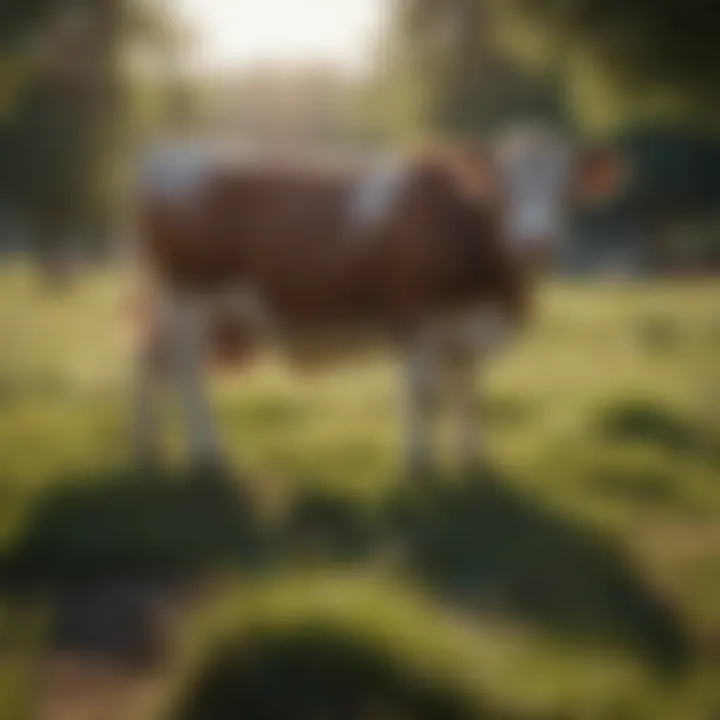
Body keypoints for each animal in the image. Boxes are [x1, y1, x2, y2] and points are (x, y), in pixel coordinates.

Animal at [132, 126, 628, 480]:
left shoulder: (466, 330)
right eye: (502, 188)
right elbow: (423, 393)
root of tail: (167, 153)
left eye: (565, 190)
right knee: (186, 373)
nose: (535, 244)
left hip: (176, 306)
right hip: (190, 299)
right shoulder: (414, 316)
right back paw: (209, 457)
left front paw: (475, 463)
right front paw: (420, 465)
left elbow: (469, 391)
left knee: (147, 364)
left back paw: (150, 451)